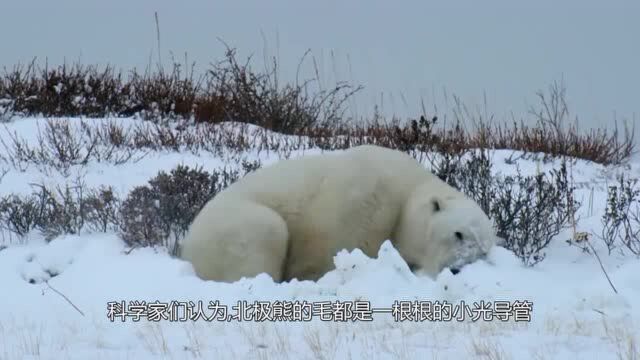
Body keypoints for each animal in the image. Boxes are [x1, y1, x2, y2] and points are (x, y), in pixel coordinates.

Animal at [178, 145, 502, 282]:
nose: (457, 268)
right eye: (458, 233)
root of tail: (189, 242)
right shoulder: (363, 200)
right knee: (263, 235)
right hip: (235, 224)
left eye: (482, 249)